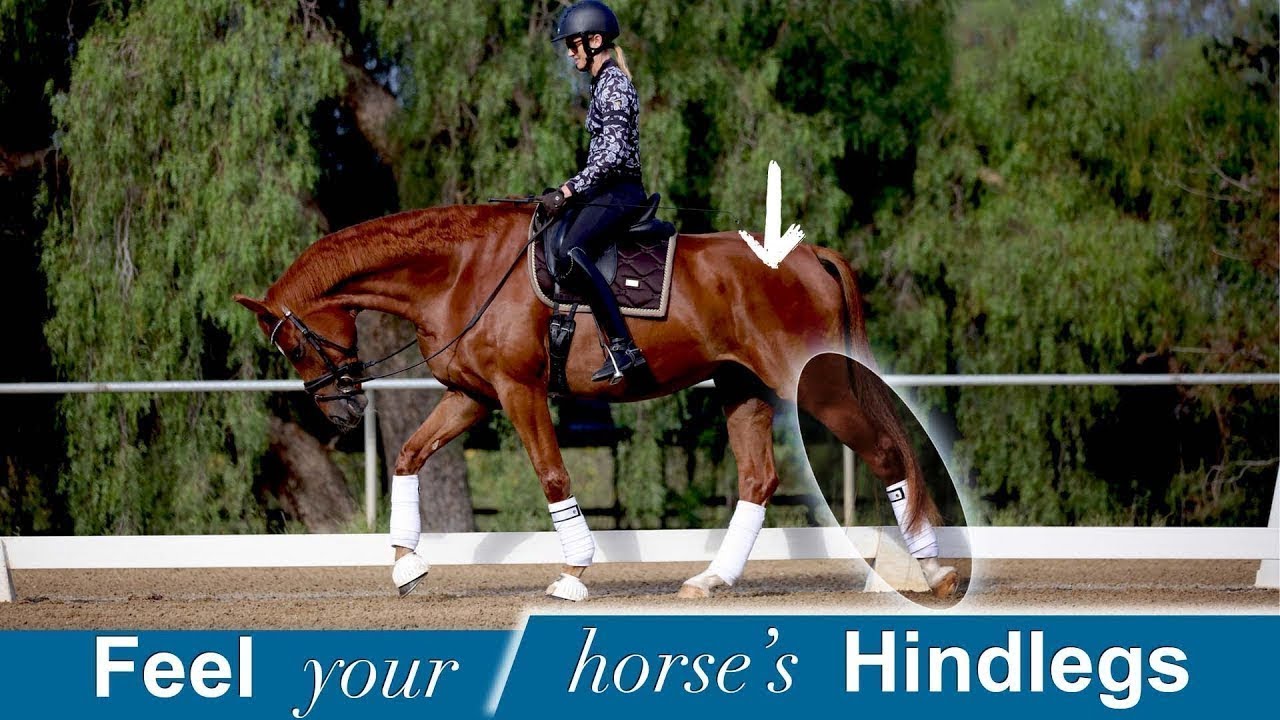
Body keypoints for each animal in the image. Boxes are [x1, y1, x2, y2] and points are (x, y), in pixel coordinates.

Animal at [234, 203, 958, 600]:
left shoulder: (518, 392)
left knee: (887, 453)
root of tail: (812, 256)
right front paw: (407, 565)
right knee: (759, 479)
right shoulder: (473, 395)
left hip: (816, 386)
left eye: (291, 345)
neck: (462, 269)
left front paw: (573, 573)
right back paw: (712, 580)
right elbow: (409, 457)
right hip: (742, 387)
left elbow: (553, 475)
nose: (341, 414)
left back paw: (931, 571)